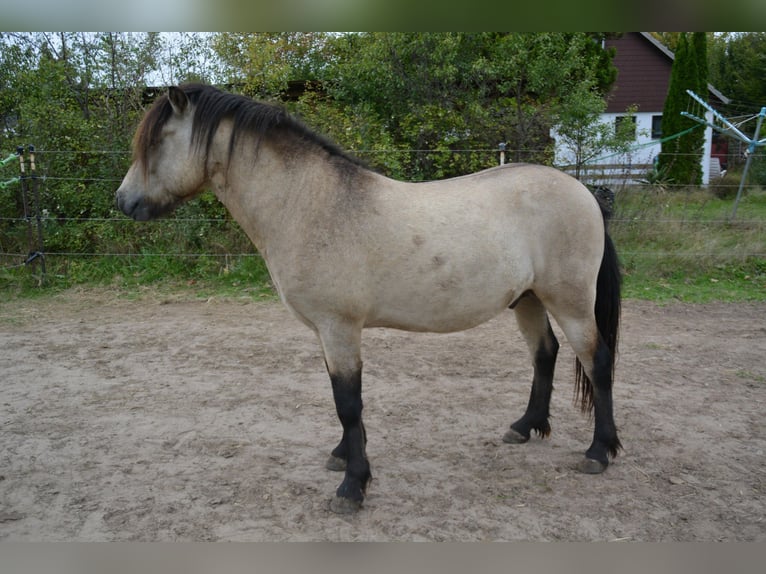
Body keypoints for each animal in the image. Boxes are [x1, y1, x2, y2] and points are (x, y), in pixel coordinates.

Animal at [116, 83, 622, 514]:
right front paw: (343, 456)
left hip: (571, 302)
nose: (123, 203)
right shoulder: (326, 333)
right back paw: (524, 427)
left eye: (157, 141)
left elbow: (348, 402)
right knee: (545, 354)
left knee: (597, 362)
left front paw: (352, 486)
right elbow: (342, 402)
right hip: (529, 299)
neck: (311, 204)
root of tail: (583, 192)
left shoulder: (340, 328)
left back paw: (600, 451)